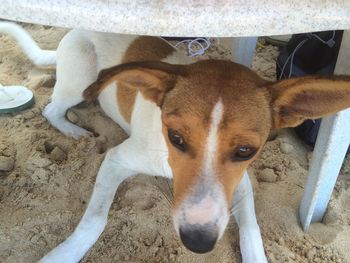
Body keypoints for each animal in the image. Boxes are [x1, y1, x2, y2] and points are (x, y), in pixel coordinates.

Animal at [2, 21, 350, 262]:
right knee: (51, 109)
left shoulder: (240, 184)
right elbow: (95, 219)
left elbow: (252, 229)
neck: (166, 157)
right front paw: (64, 254)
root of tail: (74, 32)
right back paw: (73, 131)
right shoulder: (116, 159)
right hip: (81, 80)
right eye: (176, 137)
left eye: (245, 151)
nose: (198, 243)